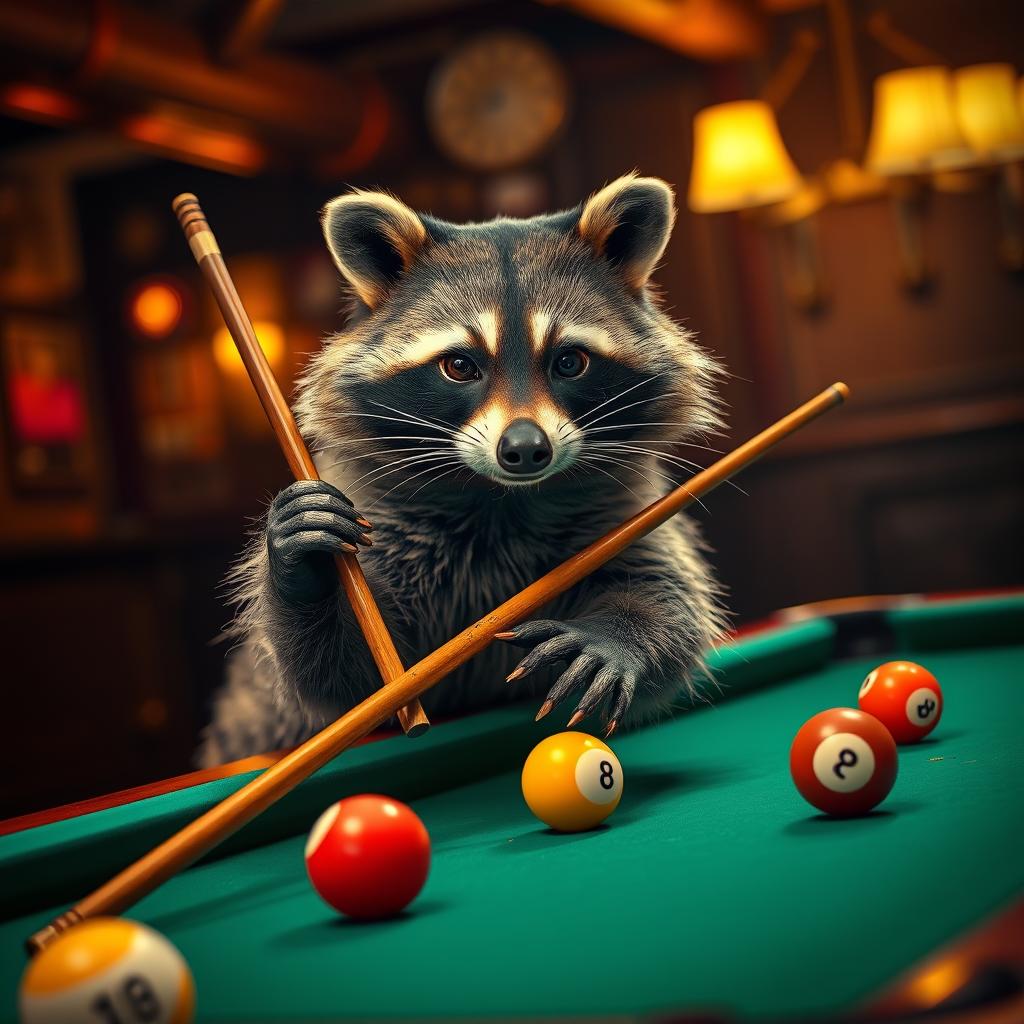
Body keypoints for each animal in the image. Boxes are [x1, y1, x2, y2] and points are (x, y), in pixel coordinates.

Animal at [198, 173, 727, 767]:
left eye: (570, 362)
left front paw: (620, 637)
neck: (500, 496)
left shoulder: (624, 513)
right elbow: (351, 684)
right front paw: (305, 572)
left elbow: (671, 598)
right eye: (459, 365)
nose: (525, 449)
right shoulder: (383, 525)